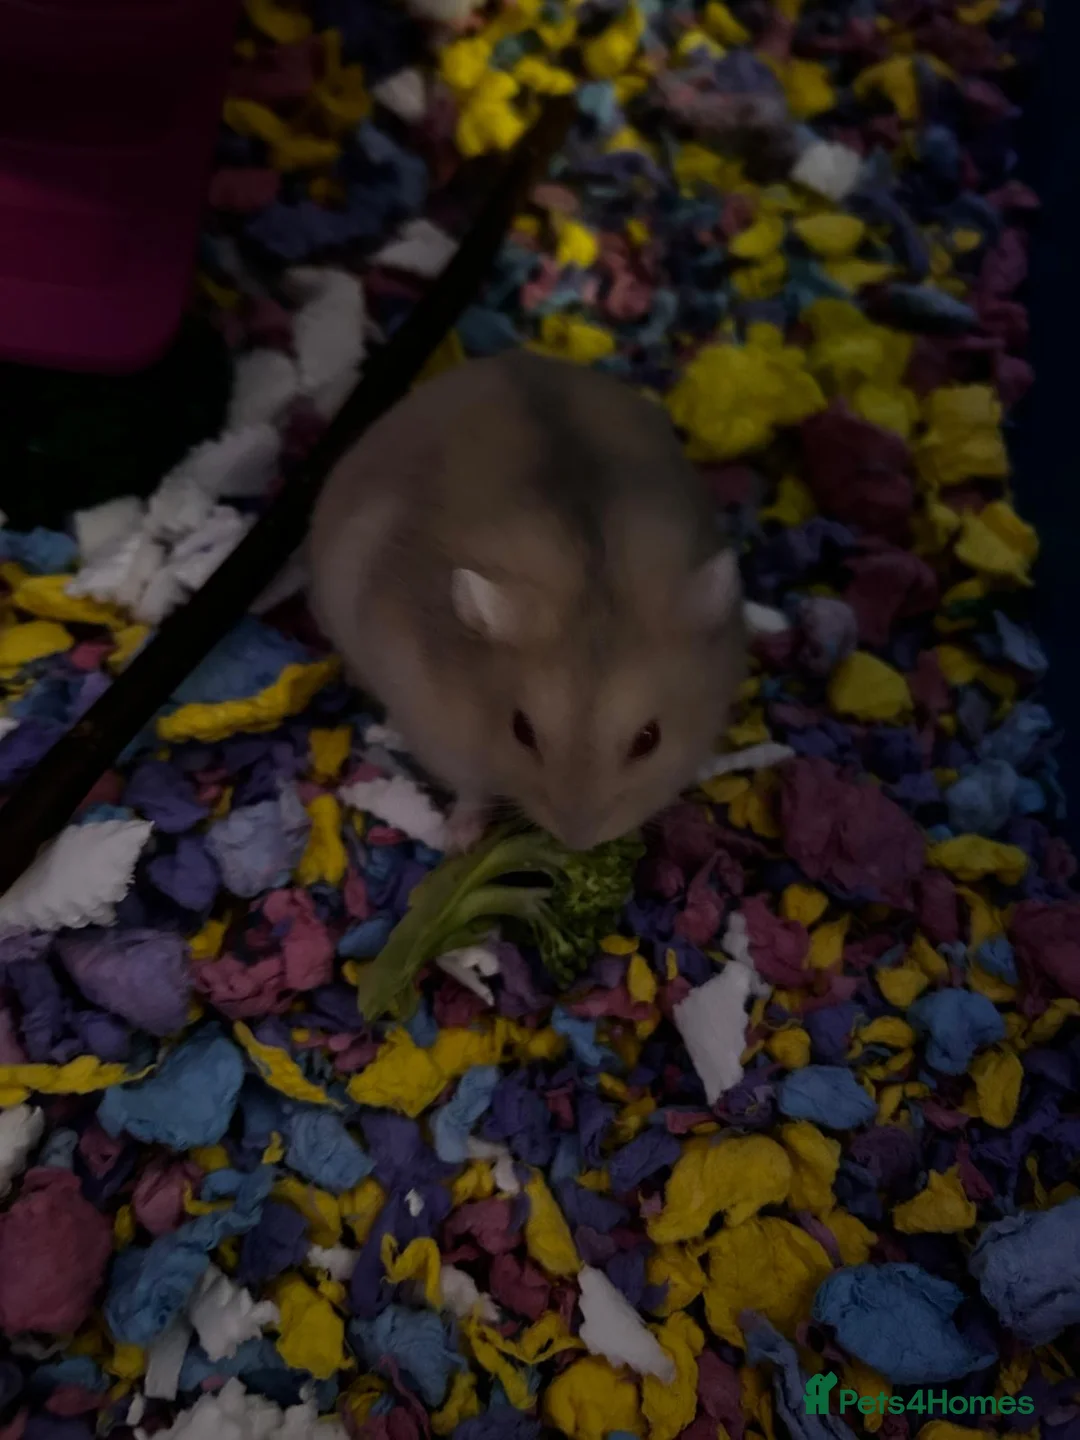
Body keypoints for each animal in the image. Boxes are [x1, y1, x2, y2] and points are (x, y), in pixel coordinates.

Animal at [308, 350, 746, 852]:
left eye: (649, 739)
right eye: (521, 730)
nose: (577, 843)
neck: (592, 585)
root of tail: (510, 357)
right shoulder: (435, 723)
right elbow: (471, 788)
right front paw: (459, 841)